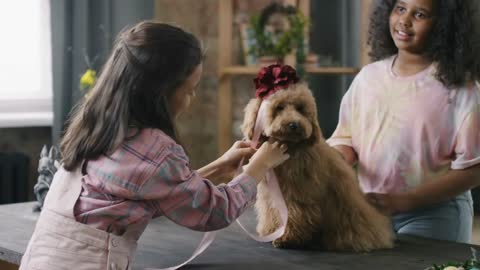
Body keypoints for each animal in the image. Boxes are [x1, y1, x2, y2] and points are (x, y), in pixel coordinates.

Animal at [240, 83, 394, 251]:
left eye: (300, 108)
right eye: (279, 107)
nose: (294, 125)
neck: (290, 148)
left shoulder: (297, 193)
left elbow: (294, 214)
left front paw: (287, 237)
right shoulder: (269, 195)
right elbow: (270, 211)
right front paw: (270, 230)